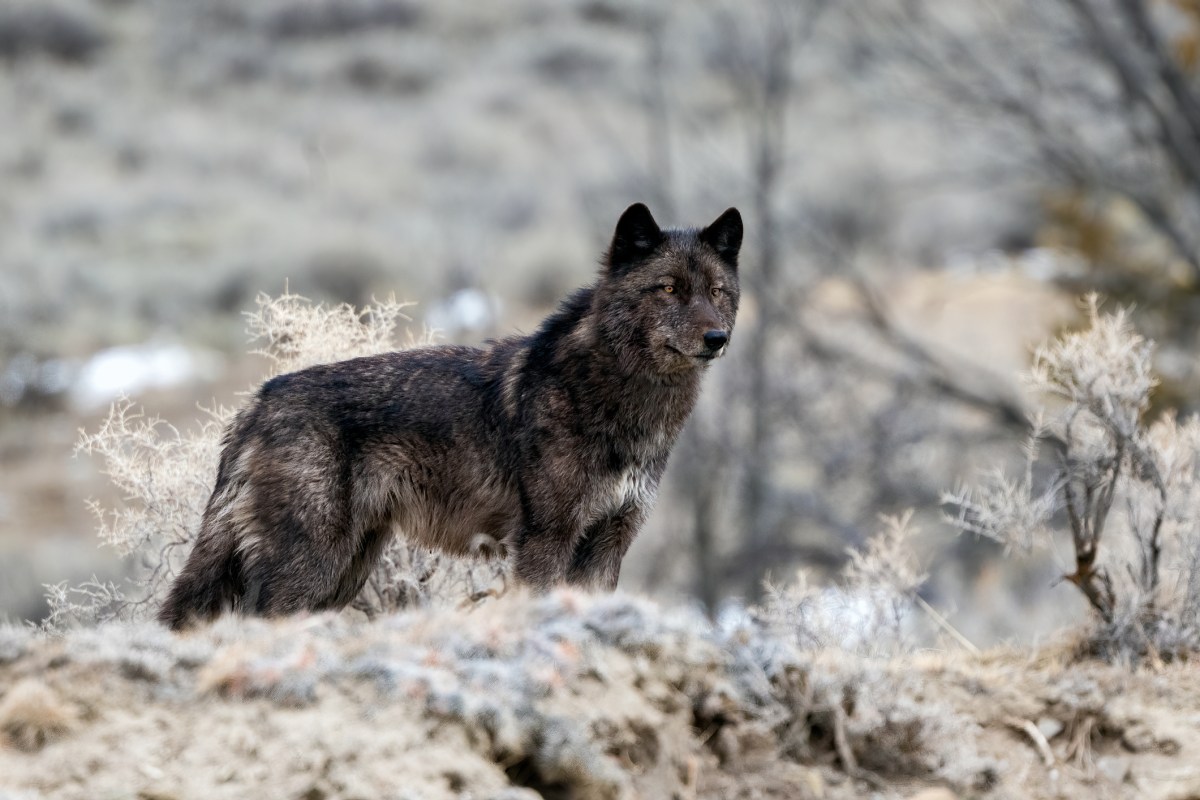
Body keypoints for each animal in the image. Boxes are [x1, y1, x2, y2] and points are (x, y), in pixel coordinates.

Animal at [158, 202, 742, 629]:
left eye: (717, 291)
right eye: (669, 288)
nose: (718, 338)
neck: (622, 399)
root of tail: (258, 401)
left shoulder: (608, 544)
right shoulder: (545, 542)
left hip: (343, 573)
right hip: (310, 567)